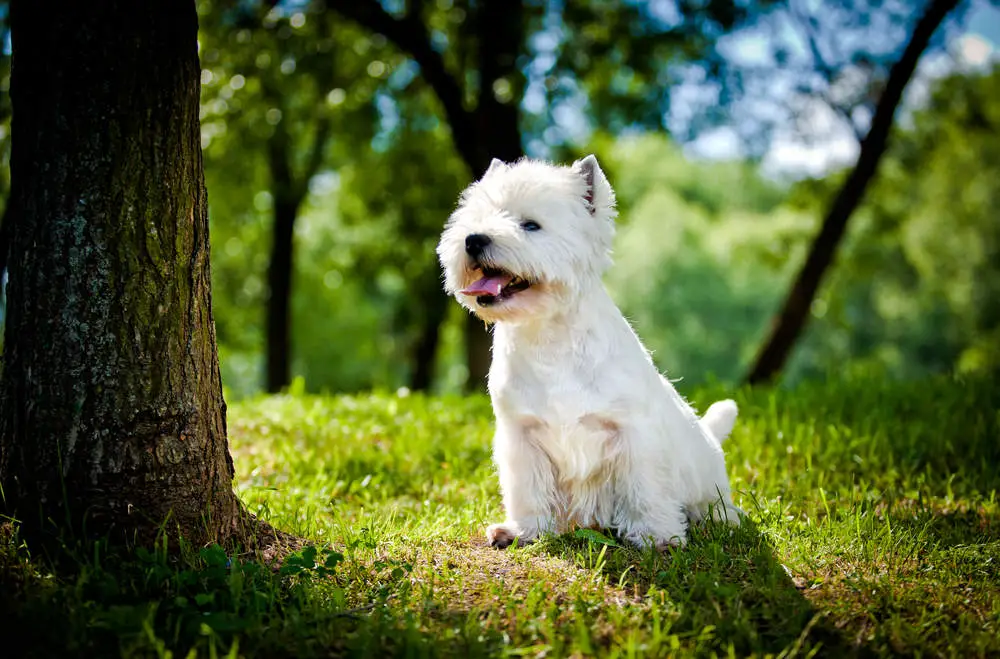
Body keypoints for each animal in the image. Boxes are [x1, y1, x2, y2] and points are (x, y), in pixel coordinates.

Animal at [438, 155, 744, 552]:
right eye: (477, 217)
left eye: (531, 225)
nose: (473, 240)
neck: (548, 337)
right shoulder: (521, 435)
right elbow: (528, 489)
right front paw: (524, 530)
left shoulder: (634, 433)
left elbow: (646, 489)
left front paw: (657, 536)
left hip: (706, 476)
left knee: (715, 503)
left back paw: (717, 519)